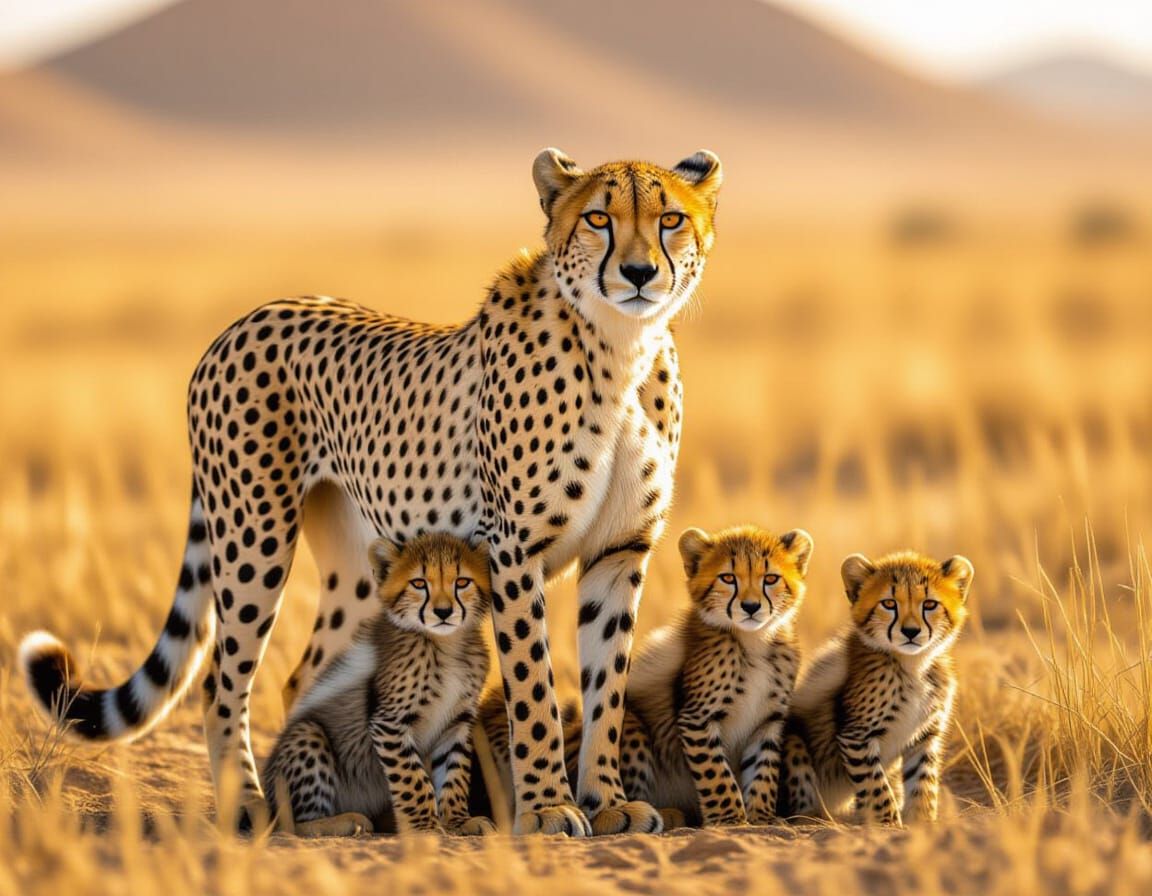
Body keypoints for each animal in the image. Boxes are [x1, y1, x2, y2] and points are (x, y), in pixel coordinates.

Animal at [18, 147, 722, 836]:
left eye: (670, 220)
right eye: (599, 218)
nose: (638, 272)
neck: (620, 347)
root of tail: (245, 320)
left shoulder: (620, 551)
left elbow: (607, 688)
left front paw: (606, 803)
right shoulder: (514, 552)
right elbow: (535, 690)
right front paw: (548, 807)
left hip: (360, 566)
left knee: (307, 674)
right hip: (254, 533)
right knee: (221, 677)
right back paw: (248, 806)